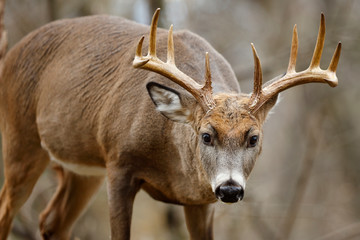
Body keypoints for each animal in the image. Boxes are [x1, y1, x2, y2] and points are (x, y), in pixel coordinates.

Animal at [0, 1, 340, 238]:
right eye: (206, 135)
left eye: (253, 137)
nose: (230, 189)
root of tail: (11, 54)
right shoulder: (119, 164)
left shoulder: (201, 201)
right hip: (21, 137)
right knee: (7, 209)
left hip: (83, 168)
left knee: (51, 221)